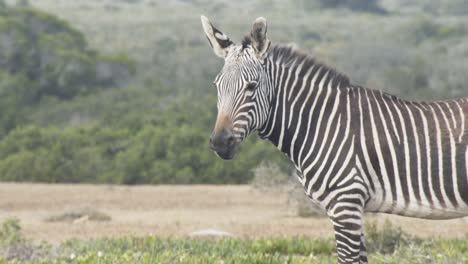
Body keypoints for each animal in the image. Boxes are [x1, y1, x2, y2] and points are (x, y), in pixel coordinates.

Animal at [201, 15, 468, 262]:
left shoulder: (345, 203)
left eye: (251, 86)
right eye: (216, 86)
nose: (220, 142)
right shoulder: (353, 206)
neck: (320, 123)